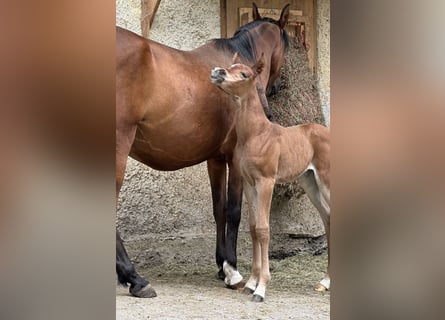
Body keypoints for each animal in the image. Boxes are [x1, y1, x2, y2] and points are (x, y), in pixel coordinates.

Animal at [116, 3, 290, 298]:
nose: (276, 89)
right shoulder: (234, 158)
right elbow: (234, 211)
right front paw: (232, 269)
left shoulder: (215, 159)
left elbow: (218, 208)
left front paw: (222, 266)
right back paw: (134, 278)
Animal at [209, 53, 330, 302]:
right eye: (230, 66)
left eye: (244, 73)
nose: (217, 72)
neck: (256, 134)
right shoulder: (249, 183)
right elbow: (254, 227)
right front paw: (250, 284)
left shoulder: (266, 182)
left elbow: (264, 230)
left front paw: (262, 288)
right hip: (311, 184)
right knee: (328, 219)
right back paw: (324, 282)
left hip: (327, 182)